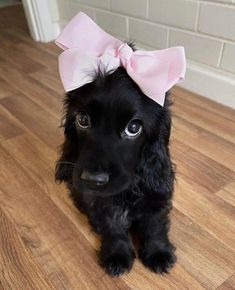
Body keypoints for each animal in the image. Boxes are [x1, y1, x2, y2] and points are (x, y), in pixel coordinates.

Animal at [55, 60, 176, 274]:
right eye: (82, 119)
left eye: (133, 128)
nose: (93, 180)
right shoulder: (99, 200)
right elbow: (112, 225)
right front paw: (117, 254)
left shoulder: (155, 193)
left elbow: (155, 223)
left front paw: (158, 252)